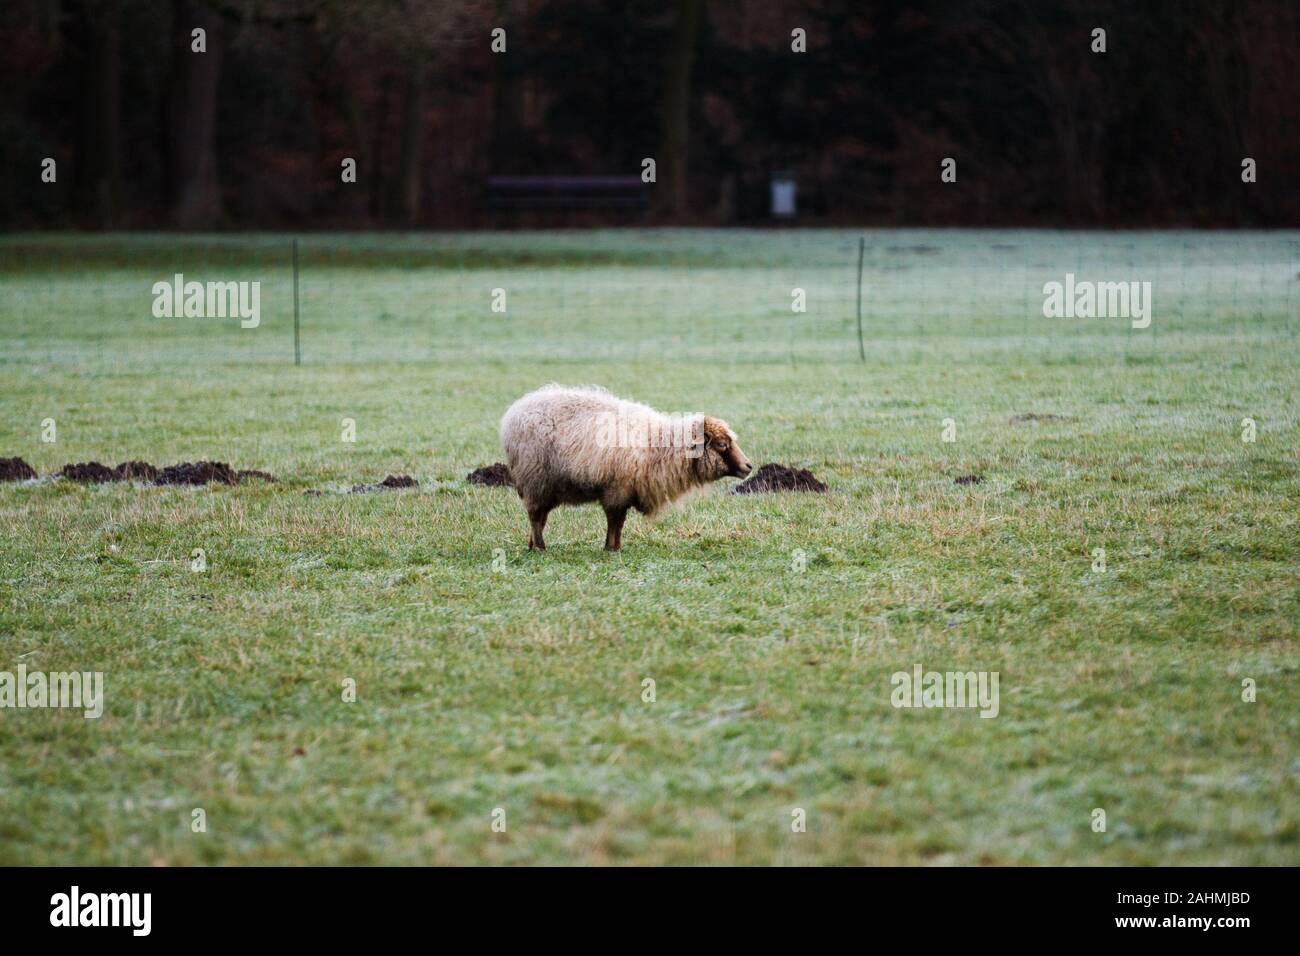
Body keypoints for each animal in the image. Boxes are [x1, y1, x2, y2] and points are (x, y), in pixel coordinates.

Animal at [499, 385, 753, 551]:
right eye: (721, 444)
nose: (749, 466)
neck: (659, 446)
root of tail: (512, 415)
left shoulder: (625, 491)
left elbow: (619, 523)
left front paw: (616, 547)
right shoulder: (616, 489)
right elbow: (614, 520)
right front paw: (611, 548)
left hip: (545, 486)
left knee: (539, 518)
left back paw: (532, 546)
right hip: (536, 479)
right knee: (535, 517)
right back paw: (540, 548)